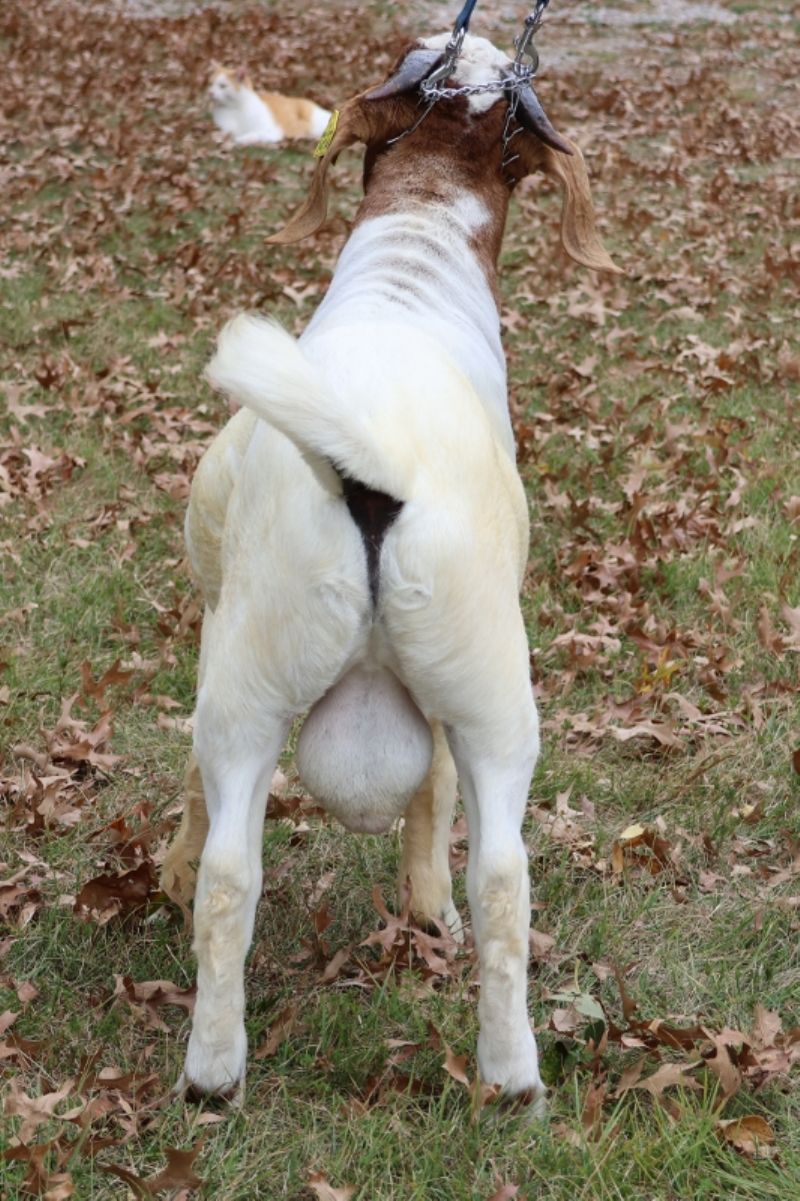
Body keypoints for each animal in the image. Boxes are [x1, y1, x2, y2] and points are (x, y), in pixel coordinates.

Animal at [161, 30, 619, 1108]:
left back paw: (218, 1072)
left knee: (236, 877)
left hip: (257, 682)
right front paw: (423, 909)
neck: (416, 248)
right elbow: (432, 791)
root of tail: (366, 461)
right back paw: (509, 1075)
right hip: (488, 692)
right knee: (499, 874)